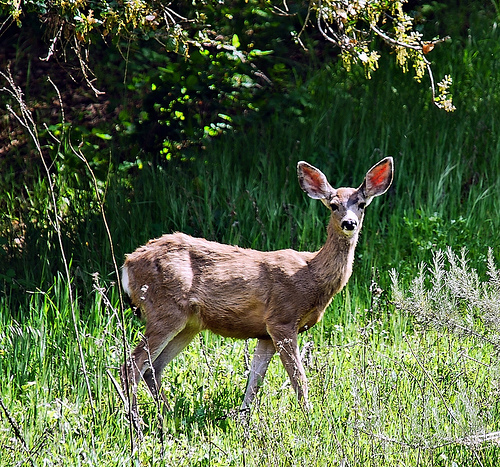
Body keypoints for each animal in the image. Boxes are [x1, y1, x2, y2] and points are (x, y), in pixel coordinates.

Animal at [119, 157, 392, 424]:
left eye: (362, 204)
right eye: (333, 205)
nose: (349, 223)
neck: (311, 275)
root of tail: (127, 264)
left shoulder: (265, 333)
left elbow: (254, 381)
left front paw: (243, 421)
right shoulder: (282, 319)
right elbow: (298, 379)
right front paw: (310, 419)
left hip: (189, 323)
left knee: (154, 368)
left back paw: (168, 415)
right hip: (165, 310)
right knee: (132, 365)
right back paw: (136, 423)